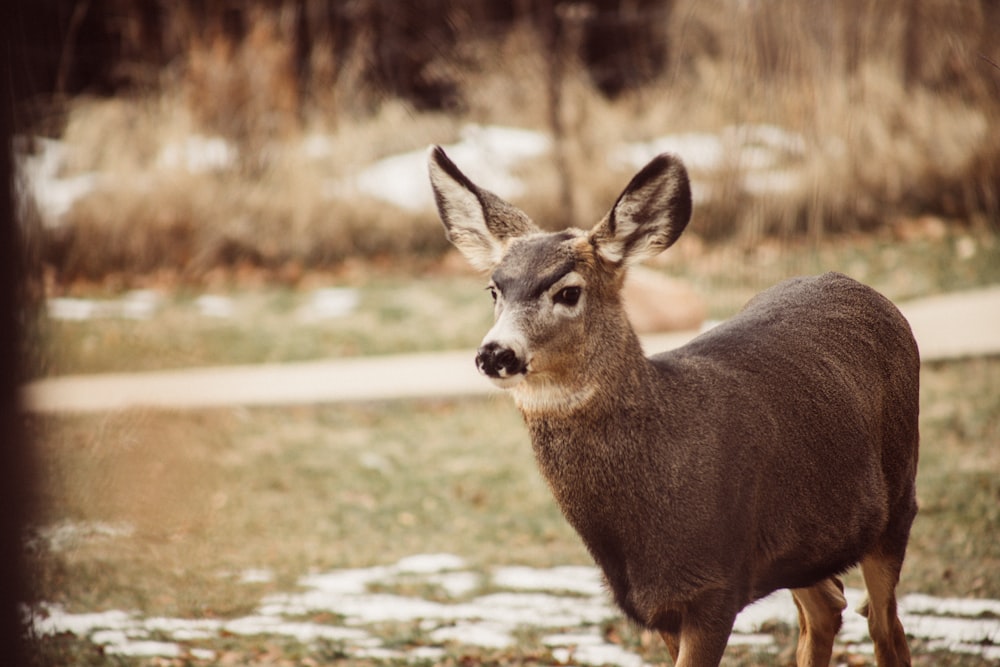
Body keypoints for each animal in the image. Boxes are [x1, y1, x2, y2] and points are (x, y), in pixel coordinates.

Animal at [426, 147, 916, 667]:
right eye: (493, 290)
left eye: (568, 291)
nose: (495, 353)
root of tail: (862, 288)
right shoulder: (660, 605)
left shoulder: (714, 588)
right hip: (806, 545)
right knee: (829, 606)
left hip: (899, 499)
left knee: (885, 625)